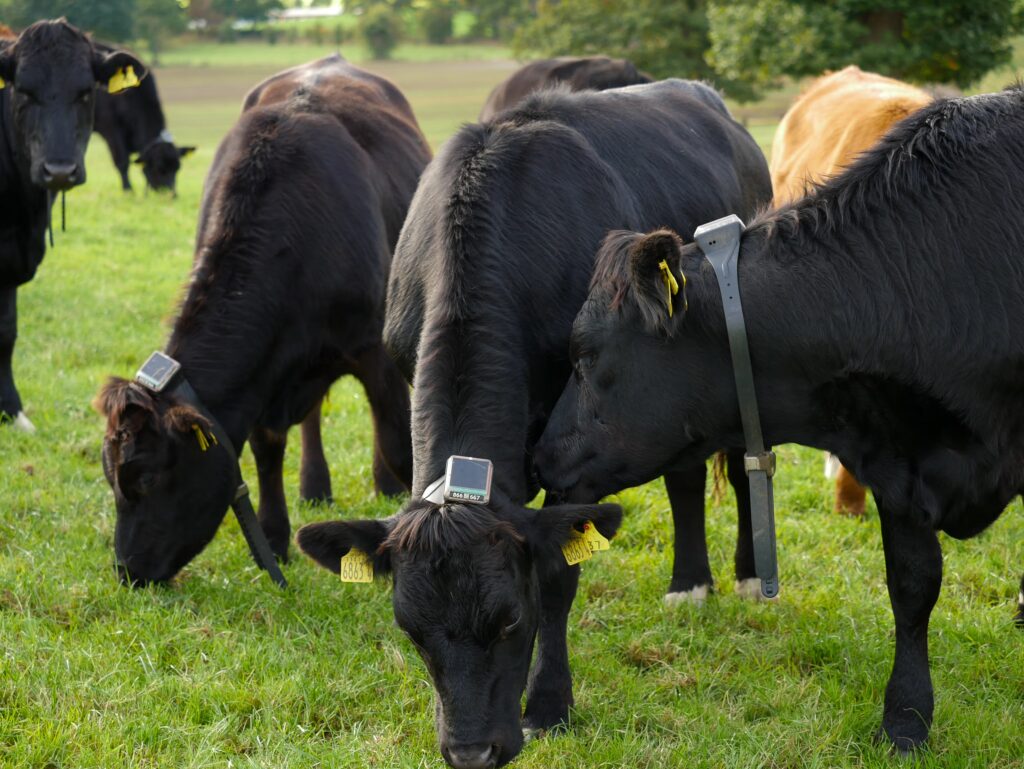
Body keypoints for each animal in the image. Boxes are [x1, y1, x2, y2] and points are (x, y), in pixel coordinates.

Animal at [92, 42, 195, 194]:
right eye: (159, 167)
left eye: (177, 167)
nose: (171, 195)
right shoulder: (111, 128)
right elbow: (122, 161)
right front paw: (128, 190)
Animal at [296, 79, 772, 769]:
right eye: (411, 631)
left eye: (510, 620)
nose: (470, 753)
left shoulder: (578, 451)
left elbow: (558, 576)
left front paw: (549, 702)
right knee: (683, 477)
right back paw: (689, 584)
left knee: (734, 469)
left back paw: (745, 575)